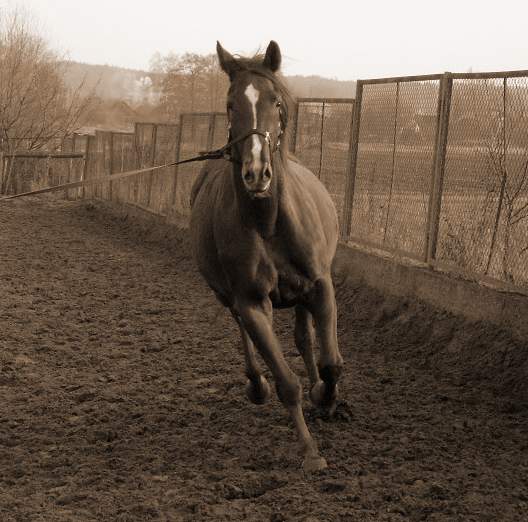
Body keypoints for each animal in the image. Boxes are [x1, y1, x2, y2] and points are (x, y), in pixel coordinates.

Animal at [190, 40, 342, 472]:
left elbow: (331, 363)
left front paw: (325, 397)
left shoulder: (320, 287)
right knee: (247, 336)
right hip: (230, 297)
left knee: (305, 339)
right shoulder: (252, 301)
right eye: (230, 105)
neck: (268, 222)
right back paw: (256, 384)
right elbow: (285, 381)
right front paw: (309, 450)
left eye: (275, 101)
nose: (256, 172)